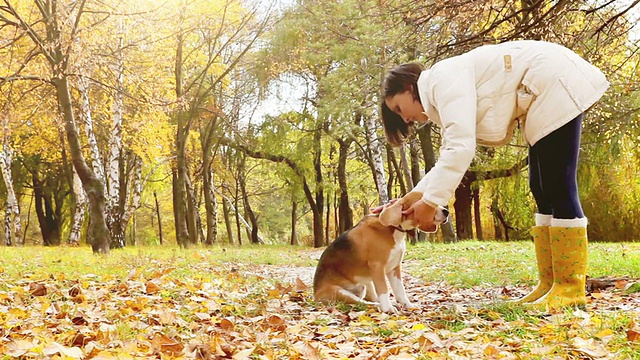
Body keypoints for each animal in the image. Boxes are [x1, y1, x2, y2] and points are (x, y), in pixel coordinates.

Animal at [312, 191, 448, 312]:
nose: (446, 211)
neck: (393, 228)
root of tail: (315, 296)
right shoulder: (377, 266)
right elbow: (384, 289)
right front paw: (388, 309)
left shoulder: (395, 267)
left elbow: (400, 290)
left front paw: (408, 305)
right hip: (339, 292)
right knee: (364, 303)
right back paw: (380, 306)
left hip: (365, 285)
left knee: (371, 298)